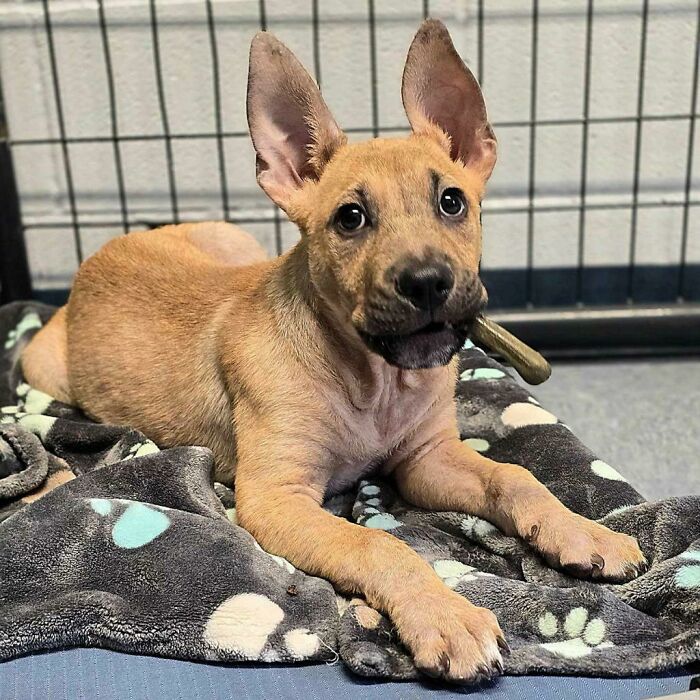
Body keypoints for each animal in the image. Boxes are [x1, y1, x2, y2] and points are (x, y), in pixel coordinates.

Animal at [21, 20, 644, 684]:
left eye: (452, 201)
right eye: (351, 218)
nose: (427, 282)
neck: (372, 380)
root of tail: (108, 246)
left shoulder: (427, 460)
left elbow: (515, 476)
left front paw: (582, 533)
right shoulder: (275, 498)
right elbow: (378, 541)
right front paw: (445, 616)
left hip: (236, 243)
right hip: (45, 369)